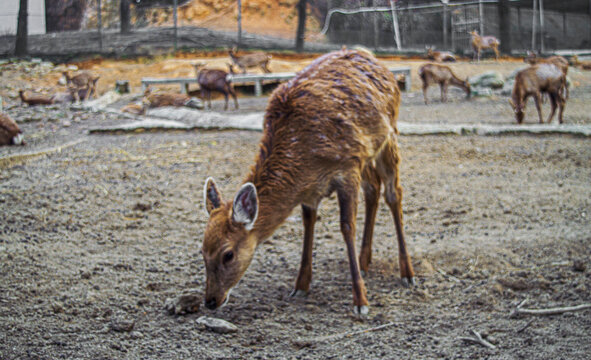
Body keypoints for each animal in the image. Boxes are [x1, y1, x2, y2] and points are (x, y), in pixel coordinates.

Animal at [201, 47, 414, 316]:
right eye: (202, 251)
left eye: (228, 254)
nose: (210, 301)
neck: (305, 162)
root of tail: (371, 56)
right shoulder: (312, 190)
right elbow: (308, 225)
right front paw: (300, 286)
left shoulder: (347, 167)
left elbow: (347, 227)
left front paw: (361, 301)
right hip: (366, 154)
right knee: (373, 188)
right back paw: (365, 262)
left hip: (388, 136)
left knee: (393, 192)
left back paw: (407, 273)